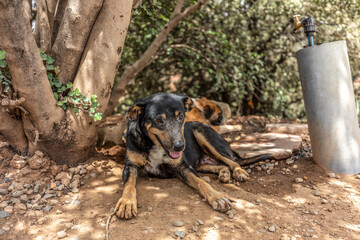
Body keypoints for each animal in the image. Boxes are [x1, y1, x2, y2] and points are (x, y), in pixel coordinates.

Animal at [115, 92, 270, 219]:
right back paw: (224, 173)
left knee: (232, 161)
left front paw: (216, 197)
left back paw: (238, 172)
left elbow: (201, 181)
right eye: (158, 120)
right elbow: (129, 185)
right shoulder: (130, 166)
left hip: (202, 133)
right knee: (221, 165)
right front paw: (127, 203)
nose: (180, 146)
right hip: (201, 160)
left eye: (181, 116)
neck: (153, 145)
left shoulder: (183, 166)